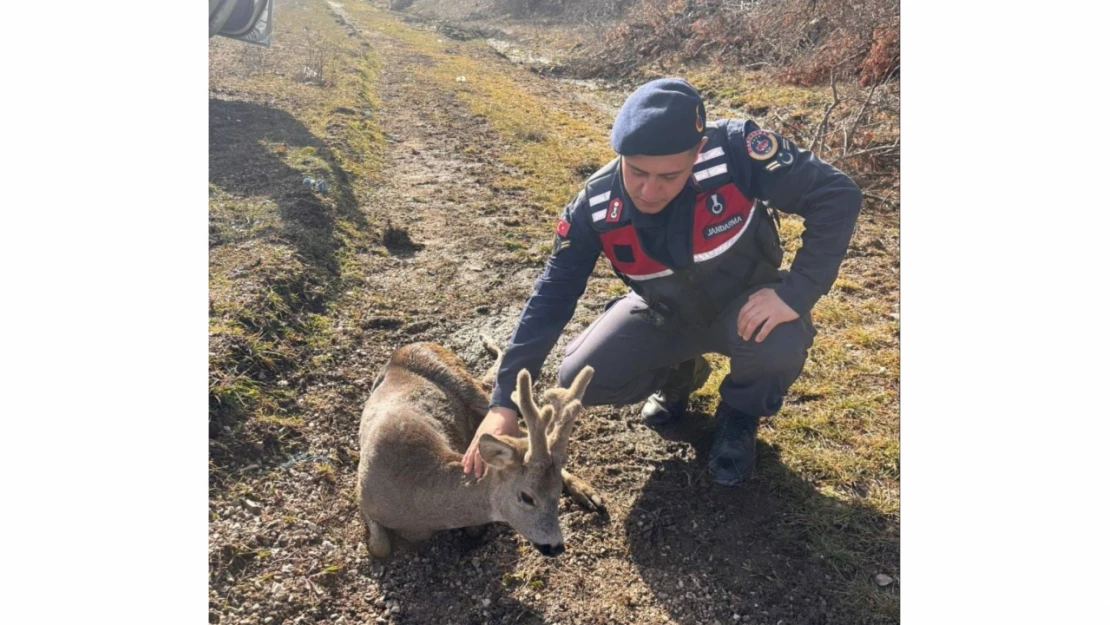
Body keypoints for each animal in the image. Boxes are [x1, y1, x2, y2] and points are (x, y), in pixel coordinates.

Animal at [357, 341, 608, 561]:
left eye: (556, 493)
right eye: (527, 497)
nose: (556, 546)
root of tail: (403, 350)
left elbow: (474, 530)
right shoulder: (361, 492)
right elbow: (379, 548)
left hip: (470, 388)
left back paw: (588, 493)